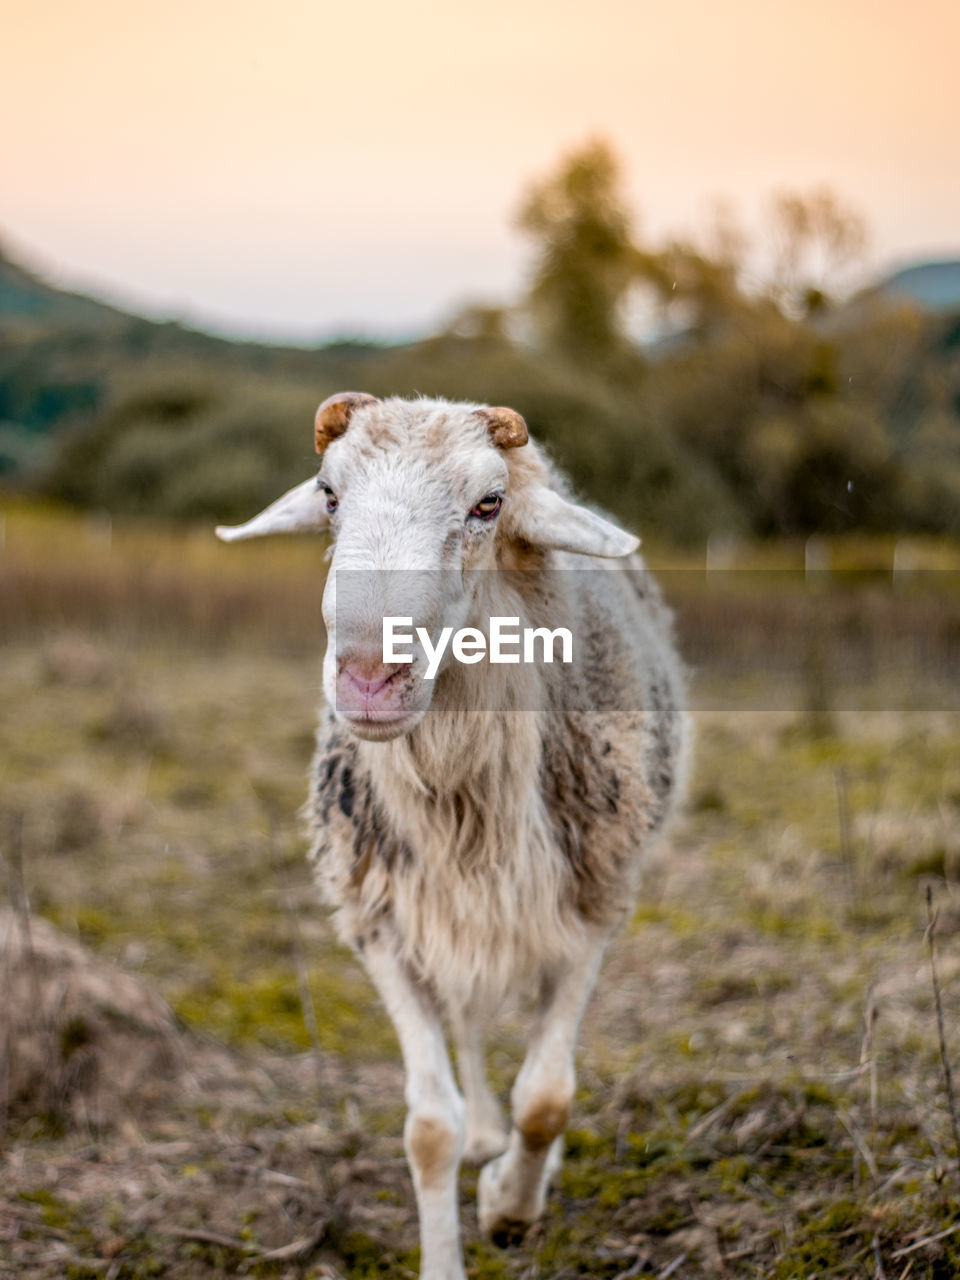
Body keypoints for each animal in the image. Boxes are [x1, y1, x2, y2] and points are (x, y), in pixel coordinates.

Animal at [217, 394, 686, 1280]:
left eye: (489, 505)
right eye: (329, 495)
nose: (370, 675)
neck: (463, 803)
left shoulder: (591, 909)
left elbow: (548, 1097)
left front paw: (509, 1207)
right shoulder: (384, 924)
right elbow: (429, 1129)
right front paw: (461, 1205)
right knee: (466, 1021)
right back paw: (484, 1136)